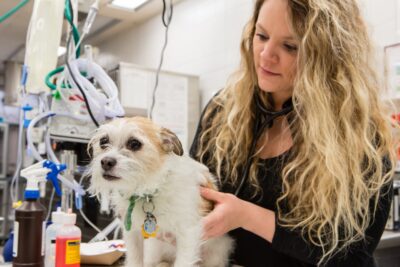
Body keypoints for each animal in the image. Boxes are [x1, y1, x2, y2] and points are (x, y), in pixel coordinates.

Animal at [86, 118, 233, 267]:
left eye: (134, 143)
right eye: (103, 141)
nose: (106, 162)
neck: (148, 192)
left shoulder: (188, 233)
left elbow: (183, 261)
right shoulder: (132, 232)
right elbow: (134, 259)